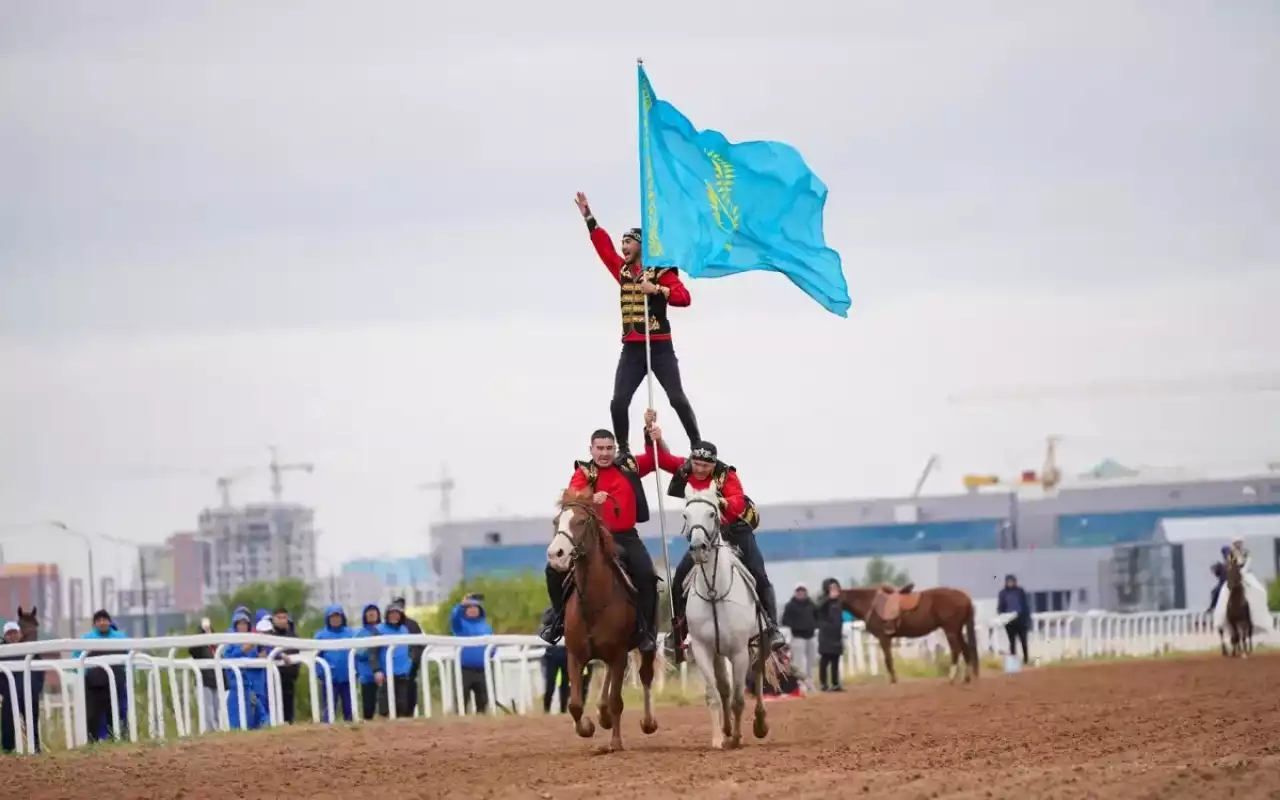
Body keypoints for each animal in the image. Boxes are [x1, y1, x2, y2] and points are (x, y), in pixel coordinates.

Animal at [555, 483, 660, 752]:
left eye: (581, 521)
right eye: (556, 521)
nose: (555, 554)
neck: (593, 603)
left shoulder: (619, 654)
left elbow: (616, 701)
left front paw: (615, 742)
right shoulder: (575, 655)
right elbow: (575, 704)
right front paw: (587, 727)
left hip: (644, 646)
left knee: (645, 676)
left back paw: (648, 722)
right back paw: (601, 716)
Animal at [680, 483, 768, 752]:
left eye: (712, 513)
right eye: (685, 516)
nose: (698, 549)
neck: (714, 592)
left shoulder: (739, 652)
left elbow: (740, 698)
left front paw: (738, 737)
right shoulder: (702, 650)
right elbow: (714, 695)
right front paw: (718, 739)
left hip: (758, 645)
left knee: (758, 677)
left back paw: (759, 724)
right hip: (719, 655)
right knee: (725, 689)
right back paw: (727, 730)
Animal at [839, 583, 977, 680]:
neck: (870, 604)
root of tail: (965, 598)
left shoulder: (884, 637)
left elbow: (888, 659)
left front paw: (894, 680)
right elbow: (889, 659)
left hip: (951, 630)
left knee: (956, 649)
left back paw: (951, 677)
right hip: (957, 631)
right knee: (965, 649)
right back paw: (967, 677)